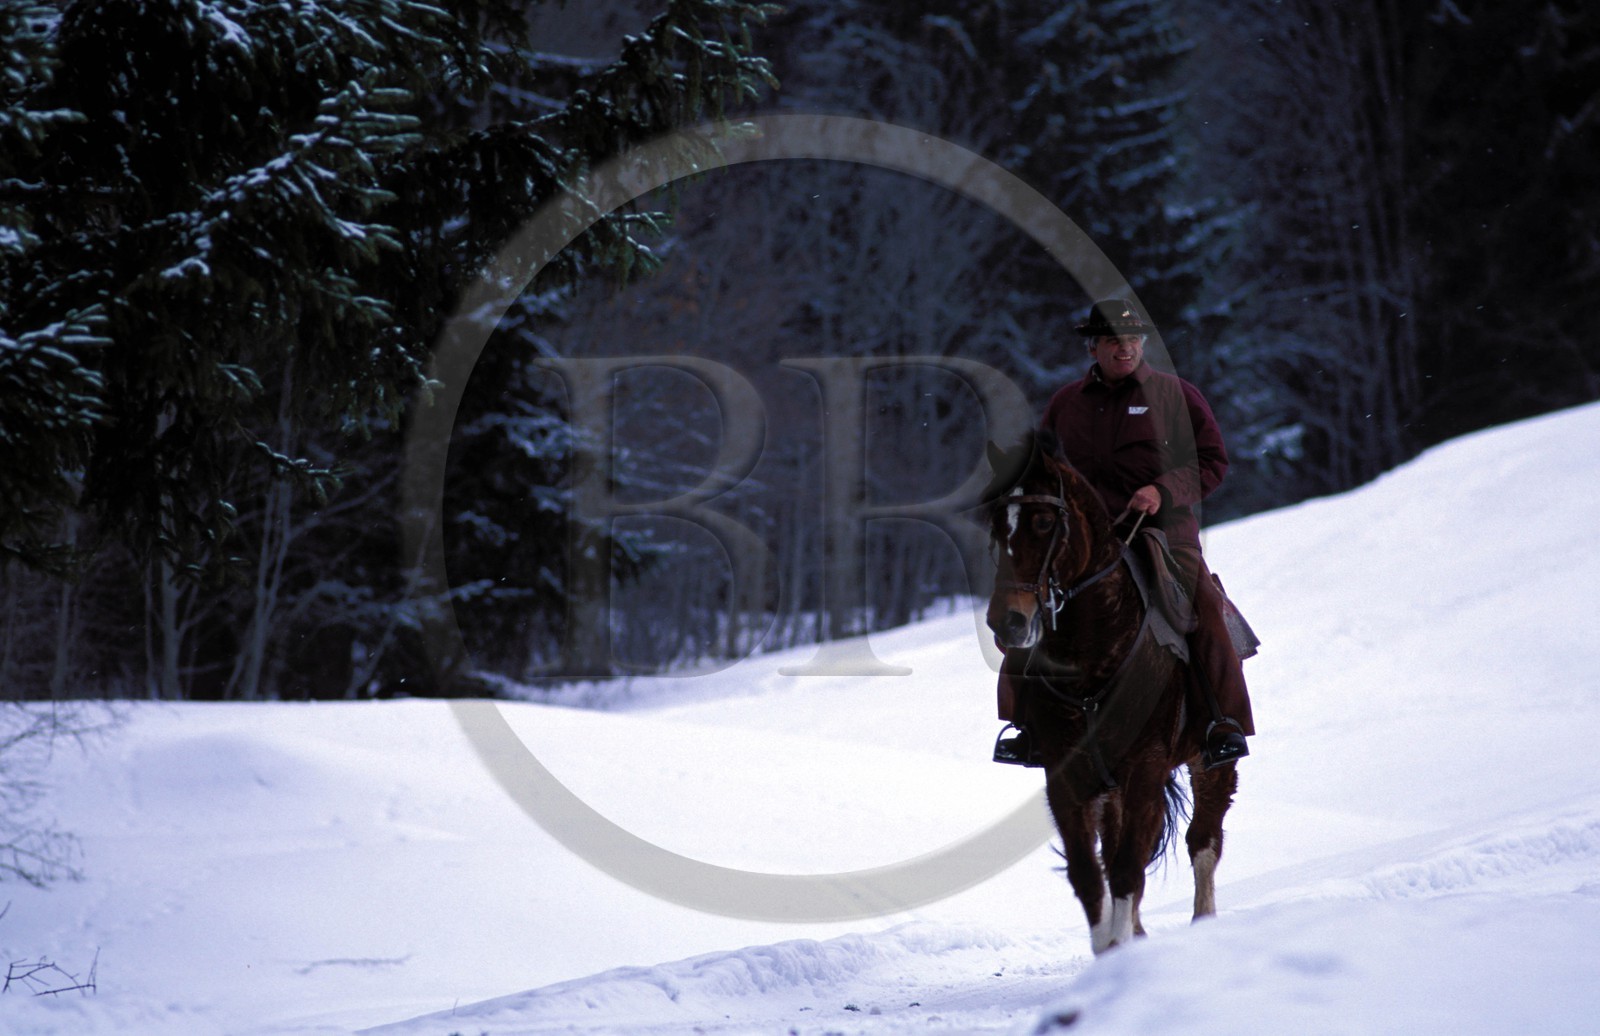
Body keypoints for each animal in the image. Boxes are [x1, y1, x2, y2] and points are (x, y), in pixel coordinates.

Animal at [984, 430, 1237, 954]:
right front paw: (1111, 950)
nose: (1007, 622)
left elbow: (1125, 871)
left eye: (1043, 522)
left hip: (1211, 761)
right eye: (995, 527)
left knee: (1204, 840)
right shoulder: (1065, 777)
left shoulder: (1146, 768)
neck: (1092, 651)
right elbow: (1090, 874)